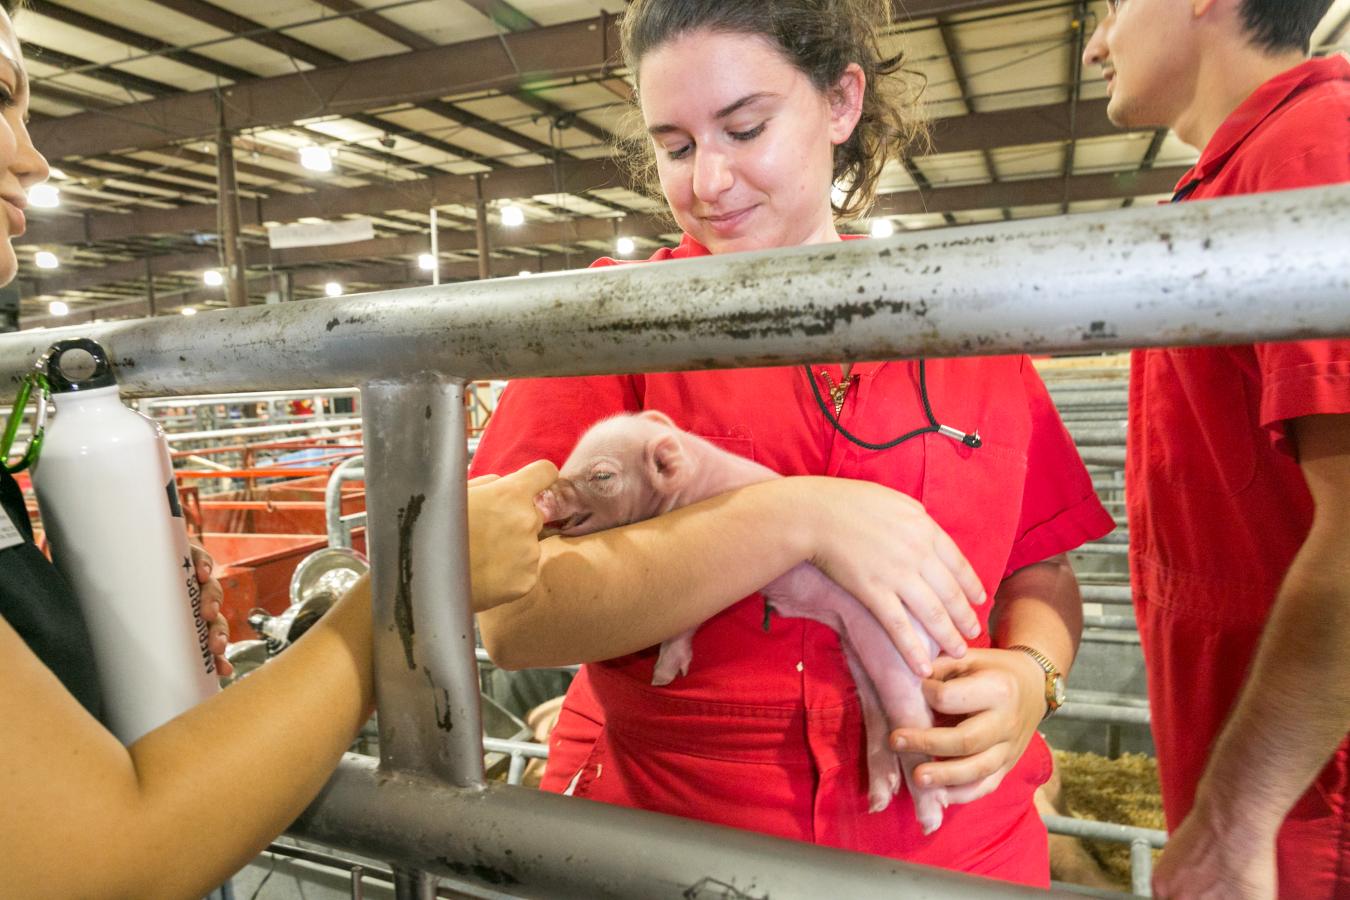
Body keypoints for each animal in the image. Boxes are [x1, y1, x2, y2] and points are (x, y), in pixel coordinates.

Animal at [535, 410, 949, 832]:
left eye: (602, 475)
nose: (541, 496)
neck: (695, 484)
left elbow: (684, 627)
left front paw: (662, 678)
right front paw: (663, 678)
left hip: (891, 648)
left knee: (913, 719)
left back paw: (930, 818)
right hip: (858, 649)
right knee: (879, 716)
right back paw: (879, 799)